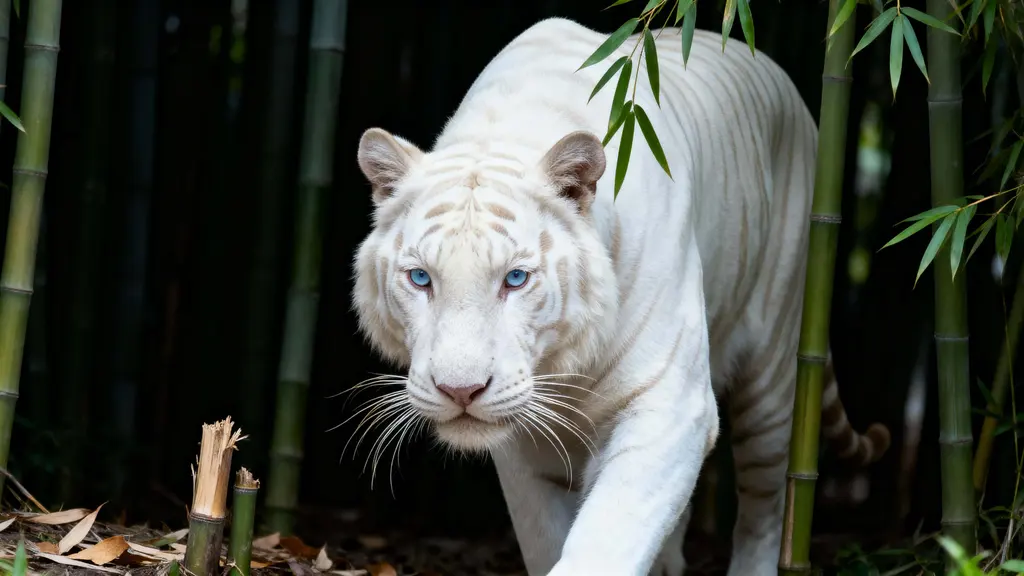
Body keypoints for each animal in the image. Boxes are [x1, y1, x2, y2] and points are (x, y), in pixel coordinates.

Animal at [350, 16, 891, 576]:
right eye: (421, 279)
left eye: (516, 279)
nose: (460, 391)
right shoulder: (524, 444)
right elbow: (545, 536)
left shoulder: (671, 403)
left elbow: (611, 534)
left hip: (776, 370)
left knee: (766, 504)